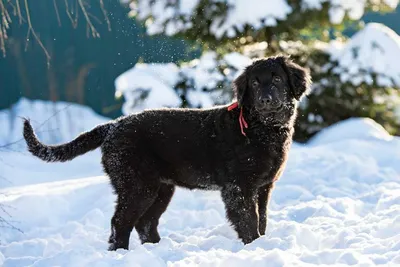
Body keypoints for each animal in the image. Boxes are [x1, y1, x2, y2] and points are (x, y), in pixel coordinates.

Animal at [23, 55, 312, 250]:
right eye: (253, 83)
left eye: (277, 78)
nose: (265, 99)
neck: (261, 129)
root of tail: (113, 125)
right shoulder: (238, 187)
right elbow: (248, 220)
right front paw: (253, 246)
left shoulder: (264, 186)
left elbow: (262, 218)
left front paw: (262, 242)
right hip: (137, 185)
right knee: (120, 222)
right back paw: (122, 254)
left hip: (161, 188)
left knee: (145, 224)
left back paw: (156, 248)